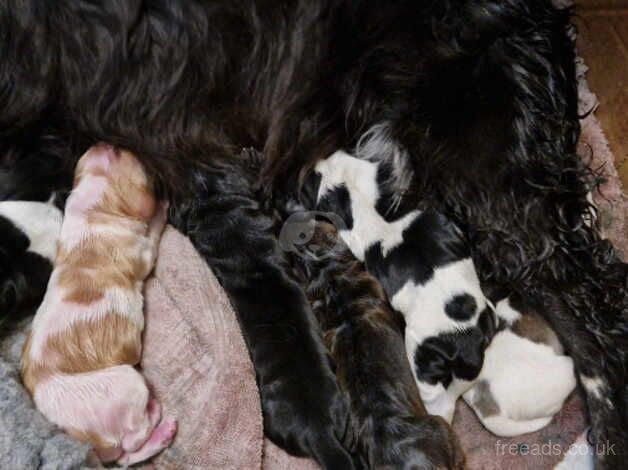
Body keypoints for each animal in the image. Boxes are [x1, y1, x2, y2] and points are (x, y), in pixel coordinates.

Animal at [20, 144, 175, 466]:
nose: (109, 142)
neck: (91, 214)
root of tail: (92, 442)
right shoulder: (143, 248)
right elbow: (152, 230)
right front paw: (162, 207)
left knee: (128, 456)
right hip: (128, 382)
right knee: (133, 438)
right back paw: (158, 418)